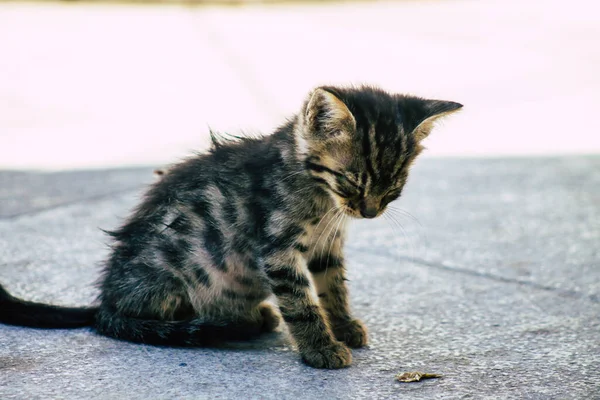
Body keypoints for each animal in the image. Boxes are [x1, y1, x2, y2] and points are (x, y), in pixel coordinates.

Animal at [0, 86, 462, 368]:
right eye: (351, 180)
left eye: (394, 187)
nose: (368, 212)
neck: (322, 200)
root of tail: (105, 302)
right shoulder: (276, 247)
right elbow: (301, 302)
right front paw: (321, 347)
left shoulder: (327, 245)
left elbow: (334, 285)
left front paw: (344, 325)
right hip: (176, 267)